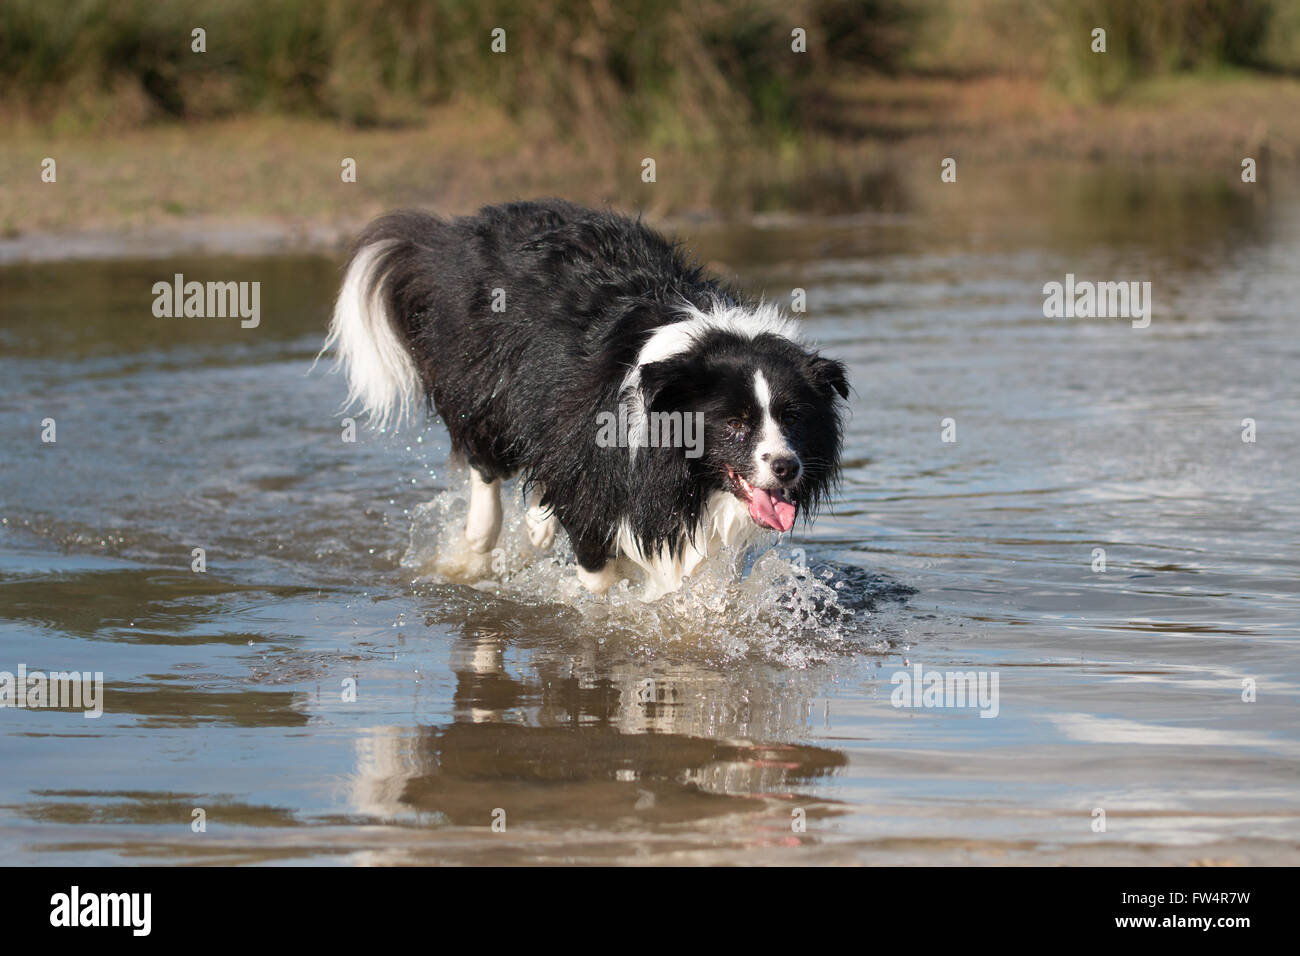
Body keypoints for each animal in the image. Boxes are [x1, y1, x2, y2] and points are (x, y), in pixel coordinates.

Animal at [327, 201, 842, 600]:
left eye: (792, 418)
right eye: (735, 422)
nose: (786, 467)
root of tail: (459, 233)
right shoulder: (597, 452)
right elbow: (599, 565)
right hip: (481, 373)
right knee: (486, 457)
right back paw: (477, 540)